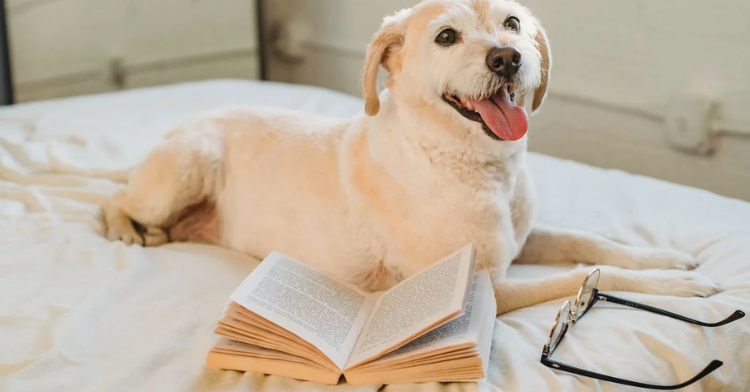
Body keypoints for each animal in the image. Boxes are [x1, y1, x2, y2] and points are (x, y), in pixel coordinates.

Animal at [101, 0, 724, 314]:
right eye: (446, 37)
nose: (508, 57)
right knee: (114, 199)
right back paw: (129, 229)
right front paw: (676, 289)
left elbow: (587, 241)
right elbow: (581, 277)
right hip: (189, 163)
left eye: (513, 23)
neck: (478, 166)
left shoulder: (522, 240)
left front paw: (664, 258)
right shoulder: (486, 287)